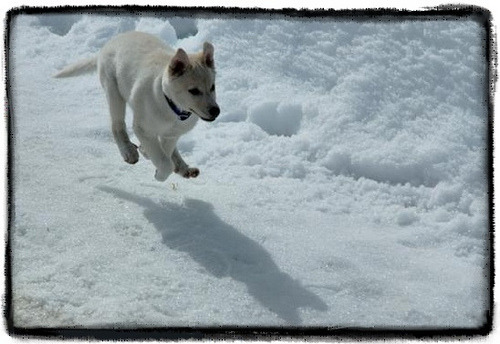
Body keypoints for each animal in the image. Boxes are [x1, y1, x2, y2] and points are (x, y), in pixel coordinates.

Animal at [54, 31, 219, 181]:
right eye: (193, 91)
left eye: (213, 87)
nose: (216, 111)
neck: (171, 106)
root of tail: (108, 44)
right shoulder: (142, 128)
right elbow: (164, 162)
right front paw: (159, 173)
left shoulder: (172, 134)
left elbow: (165, 151)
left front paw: (148, 153)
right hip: (113, 92)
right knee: (117, 125)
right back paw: (128, 151)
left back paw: (183, 167)